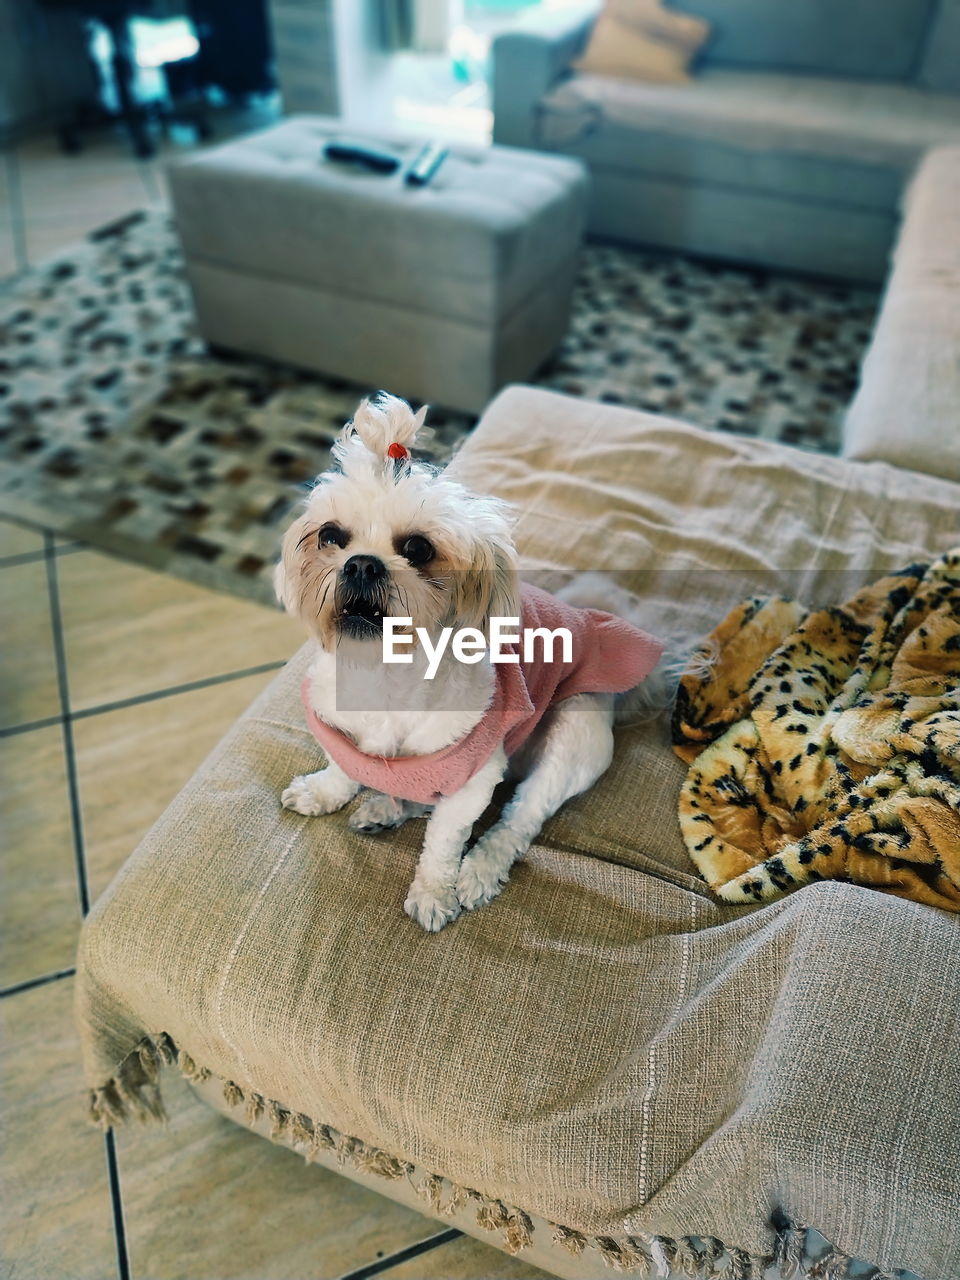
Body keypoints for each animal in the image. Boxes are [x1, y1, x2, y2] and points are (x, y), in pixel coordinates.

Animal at [276, 391, 670, 931]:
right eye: (330, 536)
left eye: (417, 547)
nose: (361, 564)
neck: (383, 679)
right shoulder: (338, 733)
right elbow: (342, 770)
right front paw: (323, 793)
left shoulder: (474, 779)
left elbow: (444, 843)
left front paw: (434, 892)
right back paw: (386, 806)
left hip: (573, 733)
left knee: (519, 819)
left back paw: (479, 868)